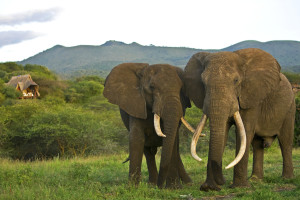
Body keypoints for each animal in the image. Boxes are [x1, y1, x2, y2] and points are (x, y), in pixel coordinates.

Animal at [183, 48, 296, 191]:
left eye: (236, 80)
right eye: (203, 82)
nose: (220, 182)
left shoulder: (251, 96)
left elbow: (245, 132)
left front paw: (240, 187)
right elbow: (224, 133)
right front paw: (211, 186)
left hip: (290, 107)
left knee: (285, 141)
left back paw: (287, 179)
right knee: (257, 144)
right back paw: (255, 179)